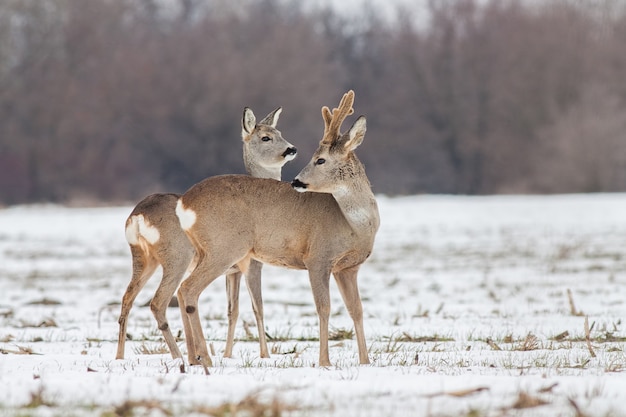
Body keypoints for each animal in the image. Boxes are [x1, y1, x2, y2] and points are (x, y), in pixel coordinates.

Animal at [116, 105, 296, 360]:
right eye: (265, 137)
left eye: (279, 132)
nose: (291, 149)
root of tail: (138, 216)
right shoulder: (251, 262)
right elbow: (257, 307)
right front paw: (265, 354)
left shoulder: (232, 271)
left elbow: (232, 310)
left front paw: (227, 354)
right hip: (178, 256)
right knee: (159, 301)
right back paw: (179, 357)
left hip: (143, 257)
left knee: (127, 298)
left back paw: (121, 356)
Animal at [174, 90, 376, 364]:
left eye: (320, 160)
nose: (296, 181)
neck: (354, 225)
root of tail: (184, 202)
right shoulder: (318, 257)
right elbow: (323, 307)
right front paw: (324, 361)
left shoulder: (348, 268)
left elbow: (357, 310)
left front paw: (365, 361)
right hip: (224, 247)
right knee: (188, 289)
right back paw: (204, 357)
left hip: (207, 252)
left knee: (181, 291)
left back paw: (194, 357)